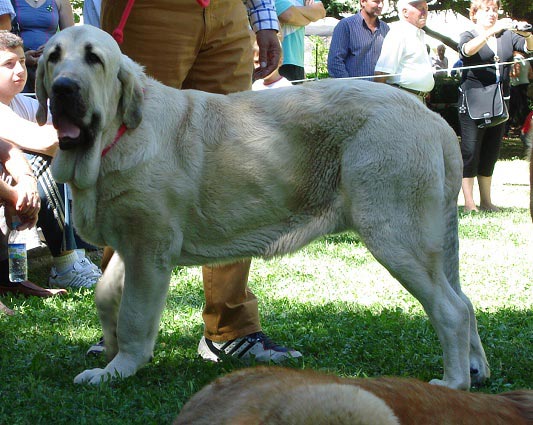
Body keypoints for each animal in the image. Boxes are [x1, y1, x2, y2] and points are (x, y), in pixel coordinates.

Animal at [36, 25, 486, 388]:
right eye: (53, 57)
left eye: (94, 58)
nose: (63, 89)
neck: (116, 138)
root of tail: (432, 119)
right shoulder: (131, 247)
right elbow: (105, 295)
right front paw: (109, 350)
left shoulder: (149, 252)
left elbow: (133, 317)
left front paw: (118, 369)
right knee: (464, 302)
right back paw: (476, 369)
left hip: (395, 235)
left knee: (451, 310)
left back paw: (453, 383)